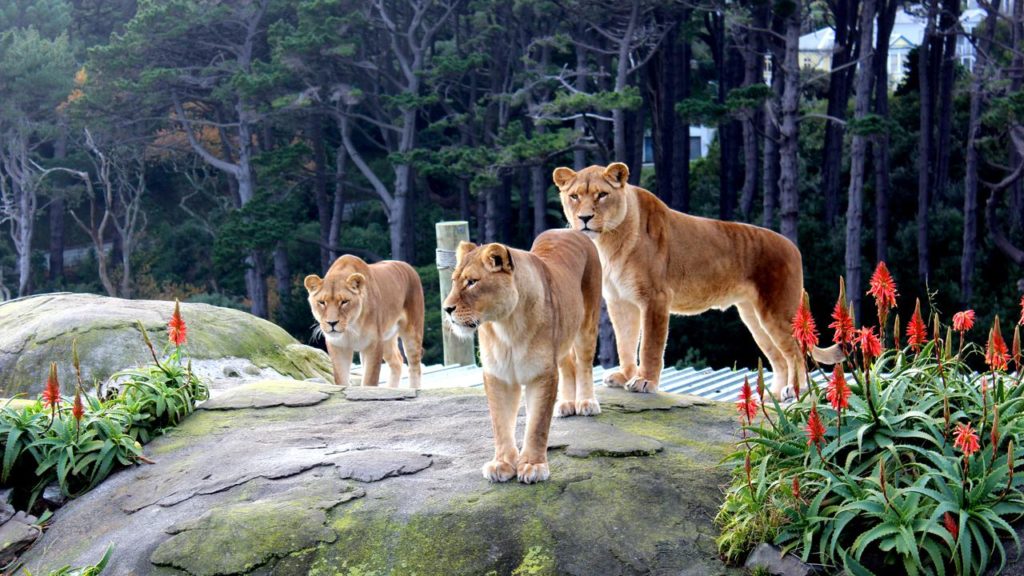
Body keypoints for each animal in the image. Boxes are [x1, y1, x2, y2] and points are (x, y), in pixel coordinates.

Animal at [304, 255, 424, 389]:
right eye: (321, 302)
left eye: (344, 302)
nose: (332, 323)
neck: (351, 327)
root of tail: (406, 265)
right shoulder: (338, 346)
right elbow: (341, 380)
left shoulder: (374, 344)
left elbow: (369, 380)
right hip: (386, 337)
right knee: (397, 361)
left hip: (412, 331)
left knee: (415, 365)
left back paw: (414, 388)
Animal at [442, 229, 602, 484]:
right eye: (454, 281)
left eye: (472, 282)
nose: (446, 309)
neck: (507, 327)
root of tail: (569, 229)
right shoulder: (498, 376)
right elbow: (500, 423)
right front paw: (502, 464)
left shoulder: (542, 375)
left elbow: (537, 425)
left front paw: (533, 466)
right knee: (568, 365)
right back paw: (566, 404)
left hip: (587, 322)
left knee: (584, 364)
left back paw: (586, 402)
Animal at [553, 162, 843, 398]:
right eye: (574, 196)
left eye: (602, 195)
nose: (585, 218)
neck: (608, 241)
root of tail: (793, 247)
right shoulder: (620, 302)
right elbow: (625, 343)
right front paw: (624, 375)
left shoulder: (655, 298)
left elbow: (649, 345)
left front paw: (645, 382)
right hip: (754, 318)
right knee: (779, 357)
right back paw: (774, 397)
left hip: (777, 311)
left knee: (796, 352)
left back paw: (797, 390)